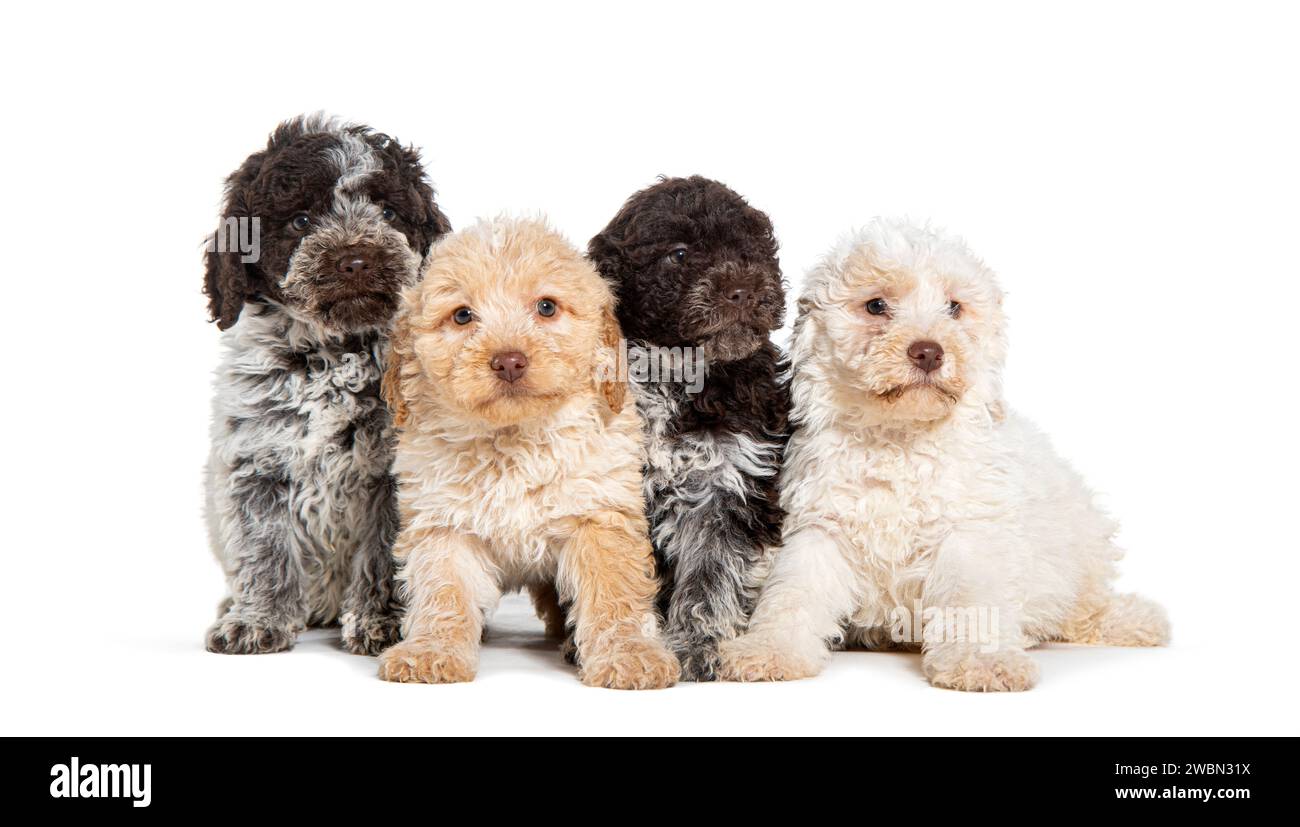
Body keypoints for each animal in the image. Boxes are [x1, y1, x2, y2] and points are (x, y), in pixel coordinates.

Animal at [200, 116, 449, 655]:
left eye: (388, 212)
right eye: (300, 221)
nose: (356, 260)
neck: (331, 357)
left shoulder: (393, 476)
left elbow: (386, 553)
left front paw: (383, 620)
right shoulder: (257, 462)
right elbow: (263, 545)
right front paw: (258, 619)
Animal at [377, 215, 681, 686]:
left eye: (547, 307)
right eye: (462, 315)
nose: (509, 361)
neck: (512, 439)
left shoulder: (598, 513)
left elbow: (613, 592)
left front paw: (629, 653)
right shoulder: (444, 523)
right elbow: (444, 590)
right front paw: (432, 650)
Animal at [590, 178, 790, 681]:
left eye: (749, 251)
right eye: (679, 254)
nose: (743, 290)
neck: (675, 375)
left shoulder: (727, 482)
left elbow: (711, 573)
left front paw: (699, 645)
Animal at [717, 215, 1175, 686]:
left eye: (954, 308)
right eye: (876, 306)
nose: (928, 352)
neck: (898, 437)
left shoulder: (966, 532)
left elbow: (972, 598)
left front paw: (981, 660)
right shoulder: (820, 527)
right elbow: (792, 593)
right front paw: (769, 649)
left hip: (1080, 545)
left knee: (1088, 604)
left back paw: (1134, 619)